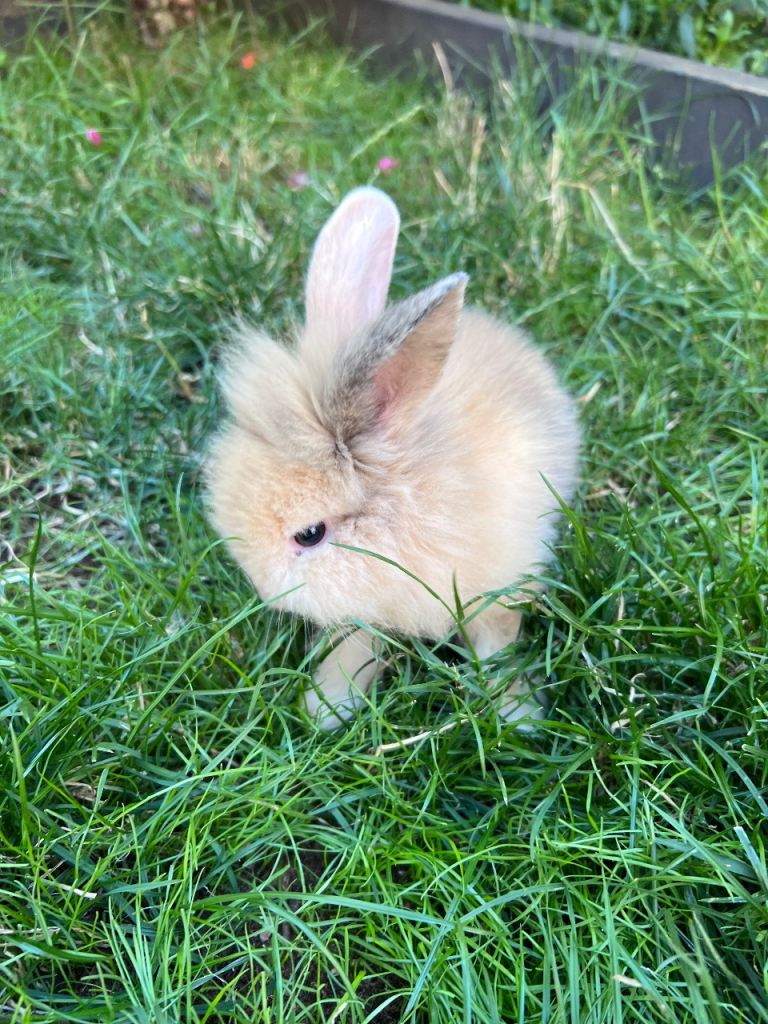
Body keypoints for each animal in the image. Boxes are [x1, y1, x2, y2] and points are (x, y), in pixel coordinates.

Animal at [206, 186, 579, 728]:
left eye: (309, 534)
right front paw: (327, 708)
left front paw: (519, 714)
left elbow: (499, 643)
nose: (262, 589)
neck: (405, 506)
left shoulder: (499, 588)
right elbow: (357, 643)